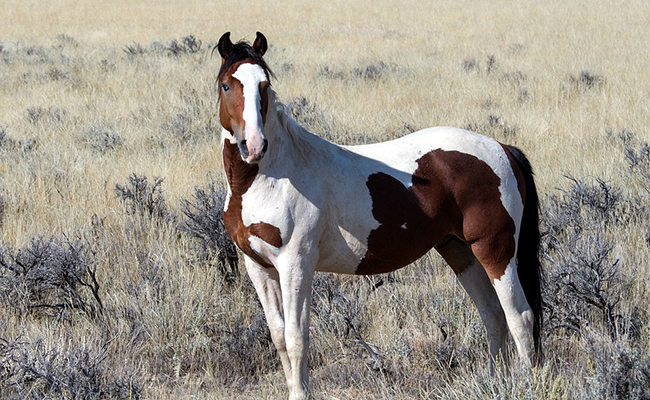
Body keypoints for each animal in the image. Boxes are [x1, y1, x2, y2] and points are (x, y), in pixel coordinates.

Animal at [214, 32, 540, 400]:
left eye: (264, 85)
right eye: (227, 85)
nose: (253, 145)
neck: (271, 176)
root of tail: (502, 149)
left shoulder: (295, 264)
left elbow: (298, 338)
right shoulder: (258, 267)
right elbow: (280, 337)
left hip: (496, 252)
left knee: (520, 316)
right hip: (460, 252)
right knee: (494, 317)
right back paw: (495, 383)